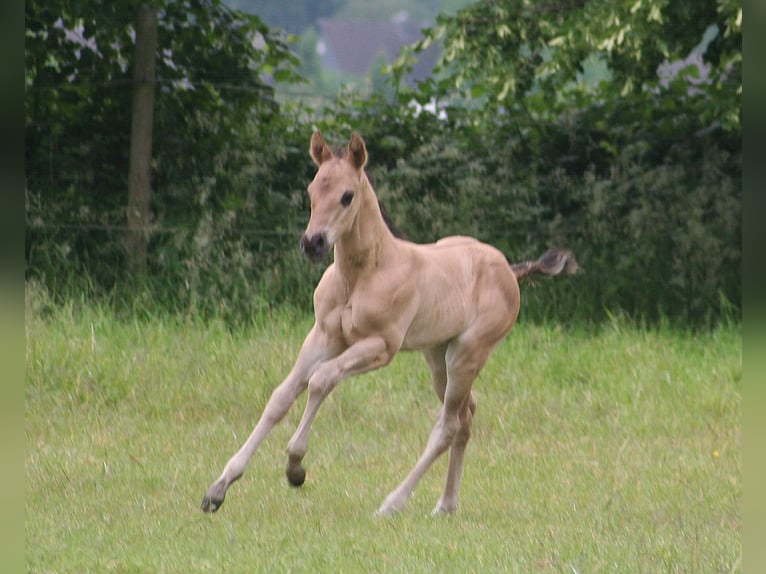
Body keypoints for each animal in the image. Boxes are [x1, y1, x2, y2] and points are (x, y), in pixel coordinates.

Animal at [201, 132, 580, 516]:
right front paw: (219, 488)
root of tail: (508, 269)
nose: (313, 243)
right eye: (311, 190)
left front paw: (295, 466)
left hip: (468, 354)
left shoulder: (381, 346)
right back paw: (446, 504)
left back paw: (392, 503)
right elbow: (281, 396)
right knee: (465, 417)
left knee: (447, 425)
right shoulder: (323, 336)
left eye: (347, 196)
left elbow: (322, 379)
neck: (362, 274)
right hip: (438, 356)